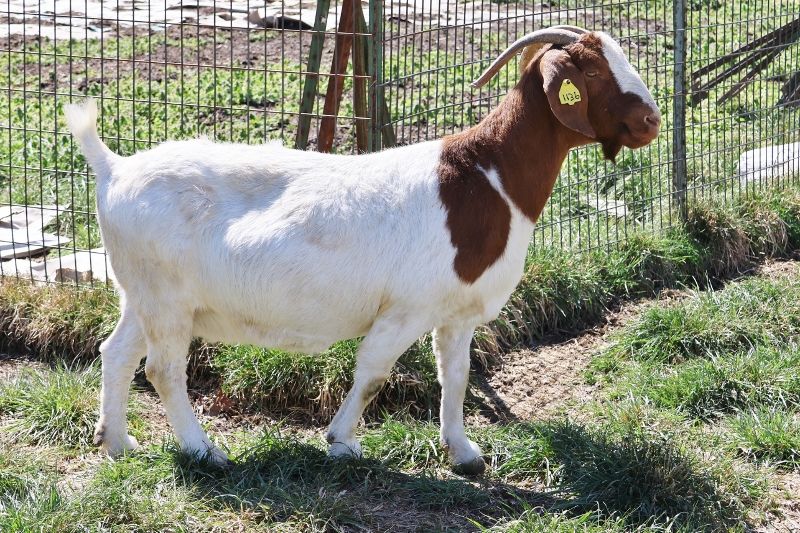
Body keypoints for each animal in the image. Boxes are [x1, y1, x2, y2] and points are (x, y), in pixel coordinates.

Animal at [65, 26, 660, 475]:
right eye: (593, 71)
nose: (651, 121)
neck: (488, 175)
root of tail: (114, 166)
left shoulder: (458, 312)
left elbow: (457, 375)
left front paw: (464, 453)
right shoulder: (407, 308)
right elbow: (373, 372)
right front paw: (342, 442)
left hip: (141, 293)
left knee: (117, 352)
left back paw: (117, 442)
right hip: (165, 297)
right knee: (163, 368)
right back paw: (204, 451)